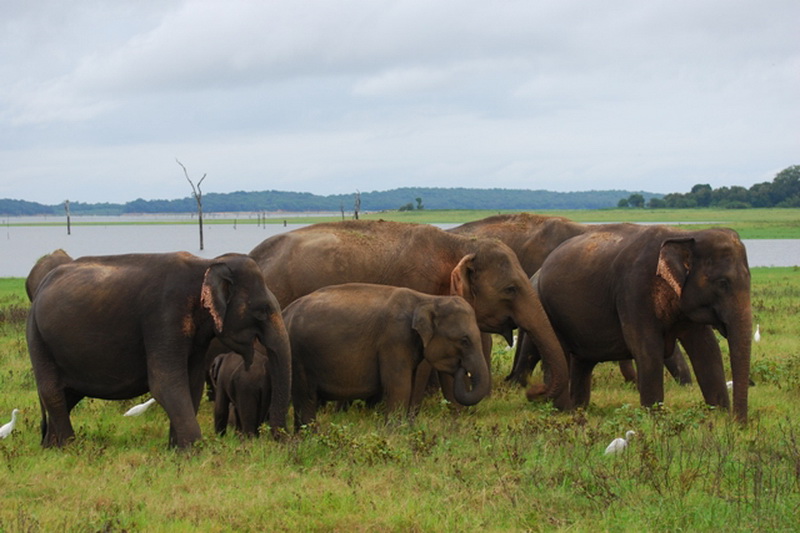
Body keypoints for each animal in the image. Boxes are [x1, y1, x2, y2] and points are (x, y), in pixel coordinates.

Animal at [26, 251, 292, 446]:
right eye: (262, 311)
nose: (277, 440)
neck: (207, 264)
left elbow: (191, 383)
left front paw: (177, 449)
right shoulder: (164, 317)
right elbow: (165, 382)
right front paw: (195, 451)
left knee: (68, 394)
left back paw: (50, 446)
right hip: (37, 336)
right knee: (52, 391)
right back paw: (69, 447)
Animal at [250, 218, 568, 410]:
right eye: (511, 289)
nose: (533, 391)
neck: (459, 244)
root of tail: (254, 255)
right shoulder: (418, 286)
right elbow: (423, 359)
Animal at [284, 282, 490, 428]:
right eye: (464, 340)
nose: (462, 368)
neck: (428, 299)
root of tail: (286, 312)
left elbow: (411, 383)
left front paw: (408, 428)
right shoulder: (394, 339)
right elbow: (399, 385)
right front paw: (394, 431)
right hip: (298, 355)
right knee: (306, 397)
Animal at [520, 223, 752, 420]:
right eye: (722, 283)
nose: (738, 424)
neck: (684, 233)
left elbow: (707, 350)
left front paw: (719, 417)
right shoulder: (633, 289)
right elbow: (647, 350)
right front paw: (655, 420)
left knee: (582, 362)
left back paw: (578, 409)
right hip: (548, 308)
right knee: (560, 354)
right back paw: (563, 412)